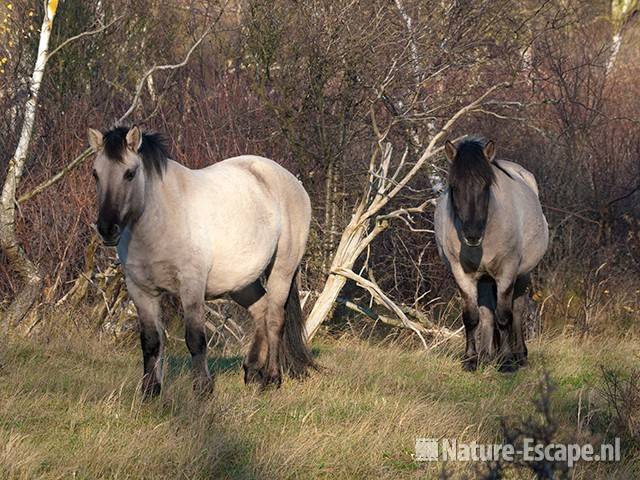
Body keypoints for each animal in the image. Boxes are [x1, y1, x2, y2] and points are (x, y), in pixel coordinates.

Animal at [88, 125, 316, 396]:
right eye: (96, 174)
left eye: (130, 173)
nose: (106, 229)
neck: (161, 220)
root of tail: (292, 181)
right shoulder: (141, 290)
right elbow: (151, 341)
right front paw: (150, 391)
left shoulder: (191, 287)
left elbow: (195, 339)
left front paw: (202, 390)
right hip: (241, 282)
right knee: (260, 311)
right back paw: (251, 372)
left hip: (282, 270)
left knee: (274, 318)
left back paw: (272, 378)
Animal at [432, 138, 548, 372]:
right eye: (454, 186)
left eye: (486, 185)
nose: (472, 234)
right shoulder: (462, 275)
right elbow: (471, 317)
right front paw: (471, 360)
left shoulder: (507, 273)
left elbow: (505, 317)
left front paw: (506, 361)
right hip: (485, 279)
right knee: (487, 314)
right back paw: (487, 355)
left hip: (523, 275)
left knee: (517, 310)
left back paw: (519, 355)